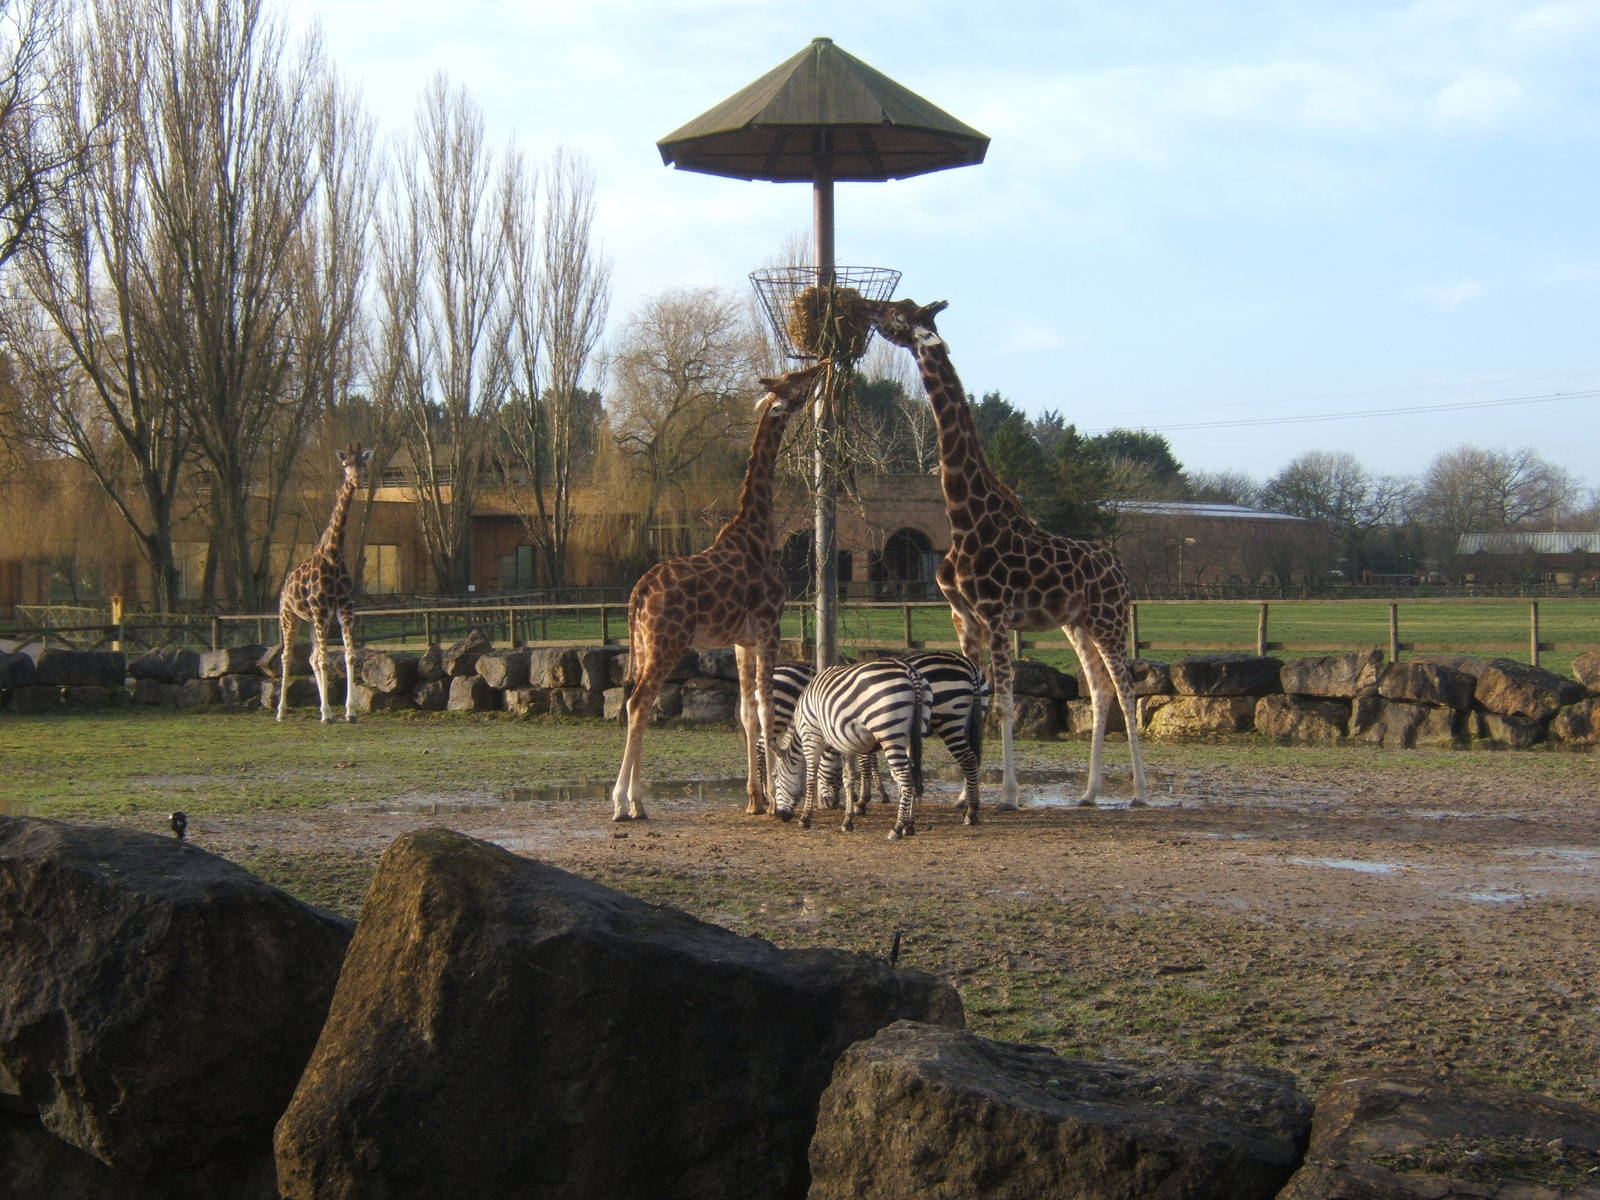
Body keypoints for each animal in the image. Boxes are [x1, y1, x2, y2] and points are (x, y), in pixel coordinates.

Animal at [276, 442, 371, 724]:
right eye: (345, 464)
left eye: (364, 463)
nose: (359, 480)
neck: (333, 554)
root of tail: (284, 586)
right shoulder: (320, 611)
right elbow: (326, 660)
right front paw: (328, 714)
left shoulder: (344, 610)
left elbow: (349, 655)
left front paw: (349, 711)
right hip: (289, 616)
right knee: (287, 656)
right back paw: (281, 711)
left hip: (311, 621)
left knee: (311, 657)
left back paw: (320, 708)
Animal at [610, 361, 829, 822]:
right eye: (796, 382)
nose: (821, 365)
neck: (758, 533)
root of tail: (639, 591)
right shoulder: (769, 626)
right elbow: (766, 709)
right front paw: (773, 801)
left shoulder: (742, 640)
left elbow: (746, 713)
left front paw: (755, 799)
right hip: (669, 642)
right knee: (638, 703)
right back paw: (623, 802)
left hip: (647, 644)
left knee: (640, 704)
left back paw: (637, 801)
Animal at [771, 659, 932, 839]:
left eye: (775, 776)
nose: (781, 816)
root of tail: (909, 670)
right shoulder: (846, 745)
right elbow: (848, 778)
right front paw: (848, 821)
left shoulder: (811, 737)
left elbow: (810, 777)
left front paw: (805, 818)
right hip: (914, 733)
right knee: (911, 774)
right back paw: (909, 825)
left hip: (889, 732)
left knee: (904, 775)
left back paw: (897, 828)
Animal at [850, 650, 991, 826]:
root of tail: (969, 666)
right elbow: (871, 761)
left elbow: (864, 764)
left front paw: (862, 802)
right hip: (973, 721)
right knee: (974, 760)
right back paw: (965, 803)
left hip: (950, 721)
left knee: (969, 760)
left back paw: (971, 811)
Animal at [860, 298, 1149, 809]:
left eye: (900, 313)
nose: (868, 310)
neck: (964, 516)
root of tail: (1118, 565)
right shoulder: (963, 617)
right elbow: (973, 701)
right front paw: (963, 795)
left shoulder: (995, 615)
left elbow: (1004, 704)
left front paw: (1010, 793)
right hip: (1077, 623)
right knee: (1099, 689)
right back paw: (1090, 792)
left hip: (1110, 619)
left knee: (1126, 689)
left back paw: (1138, 792)